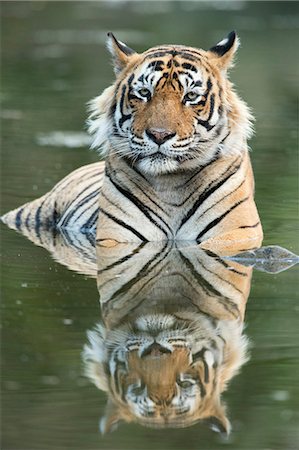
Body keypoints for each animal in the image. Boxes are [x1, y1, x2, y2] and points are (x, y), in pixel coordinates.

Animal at [0, 30, 262, 256]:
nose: (159, 135)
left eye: (190, 96)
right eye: (144, 93)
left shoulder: (236, 233)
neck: (170, 184)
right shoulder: (115, 237)